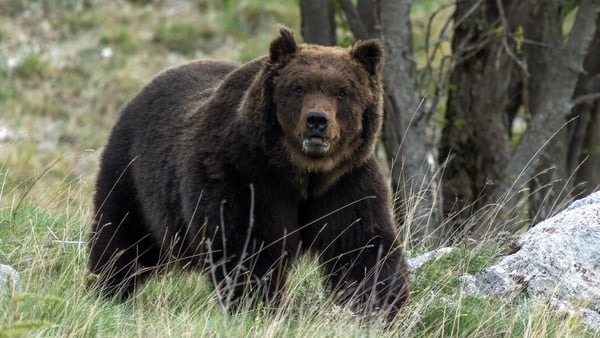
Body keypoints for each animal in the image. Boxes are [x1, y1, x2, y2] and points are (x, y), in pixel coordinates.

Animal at [88, 27, 408, 320]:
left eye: (343, 92)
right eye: (298, 88)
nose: (317, 120)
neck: (302, 172)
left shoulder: (344, 182)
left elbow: (361, 245)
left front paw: (382, 308)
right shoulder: (246, 175)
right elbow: (251, 248)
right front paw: (262, 307)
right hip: (133, 176)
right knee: (120, 238)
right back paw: (106, 290)